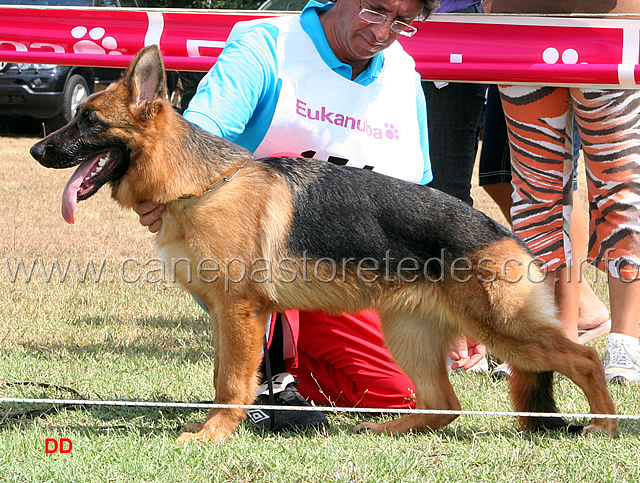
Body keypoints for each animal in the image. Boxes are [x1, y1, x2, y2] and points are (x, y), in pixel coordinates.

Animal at [28, 45, 616, 442]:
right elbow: (222, 376)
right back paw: (385, 432)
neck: (198, 183)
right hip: (410, 335)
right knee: (445, 405)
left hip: (504, 330)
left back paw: (606, 426)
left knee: (585, 358)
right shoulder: (229, 314)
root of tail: (505, 234)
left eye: (89, 121)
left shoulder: (239, 312)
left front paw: (215, 433)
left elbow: (232, 381)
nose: (35, 149)